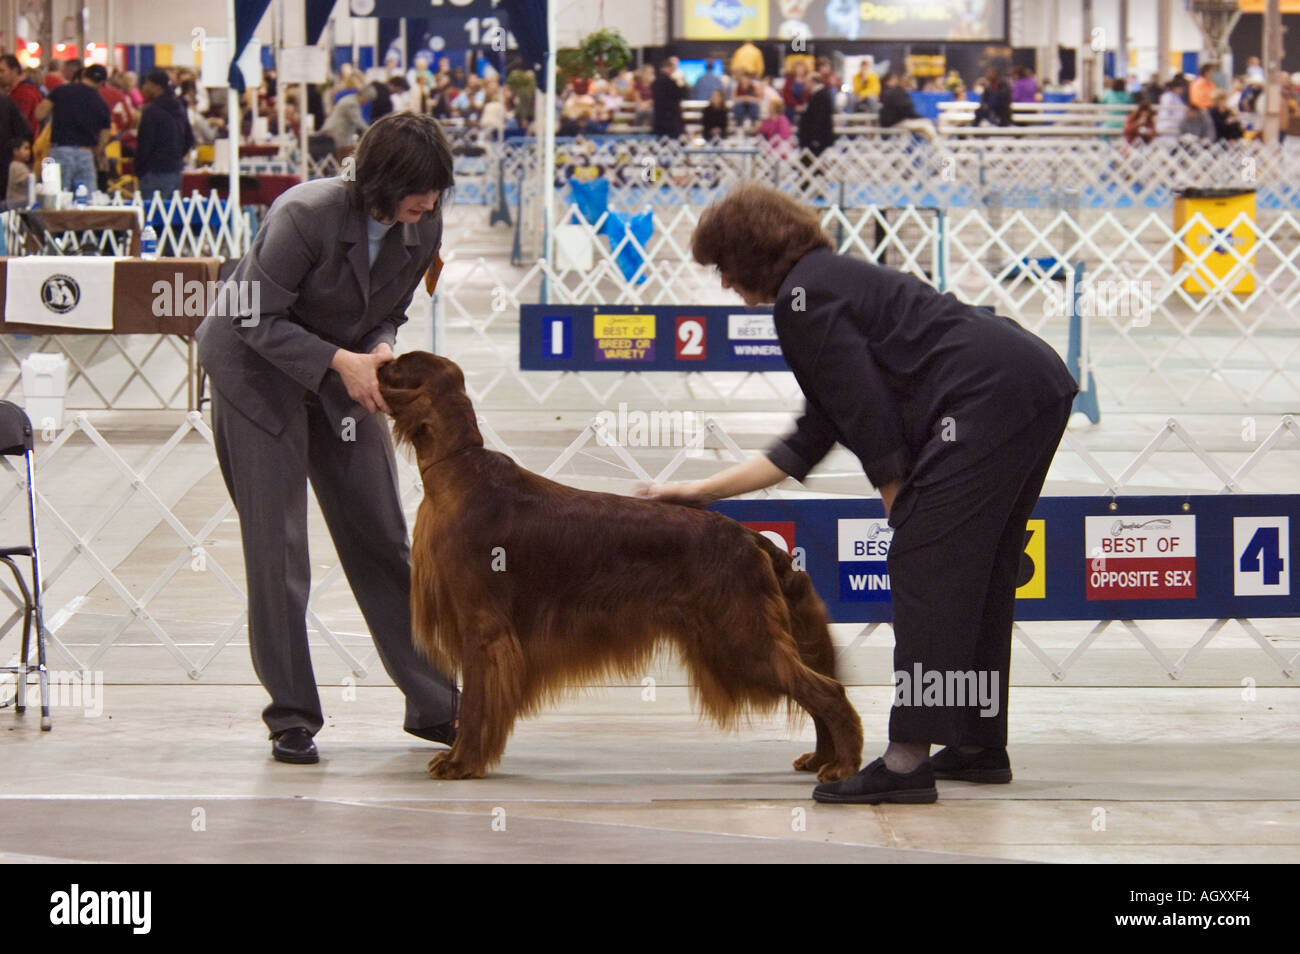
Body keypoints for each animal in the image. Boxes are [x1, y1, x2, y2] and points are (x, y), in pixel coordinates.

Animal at [377, 353, 863, 785]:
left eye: (400, 364)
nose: (375, 361)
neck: (458, 470)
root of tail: (751, 538)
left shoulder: (483, 629)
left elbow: (476, 705)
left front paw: (462, 763)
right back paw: (823, 757)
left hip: (743, 639)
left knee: (827, 690)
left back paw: (843, 765)